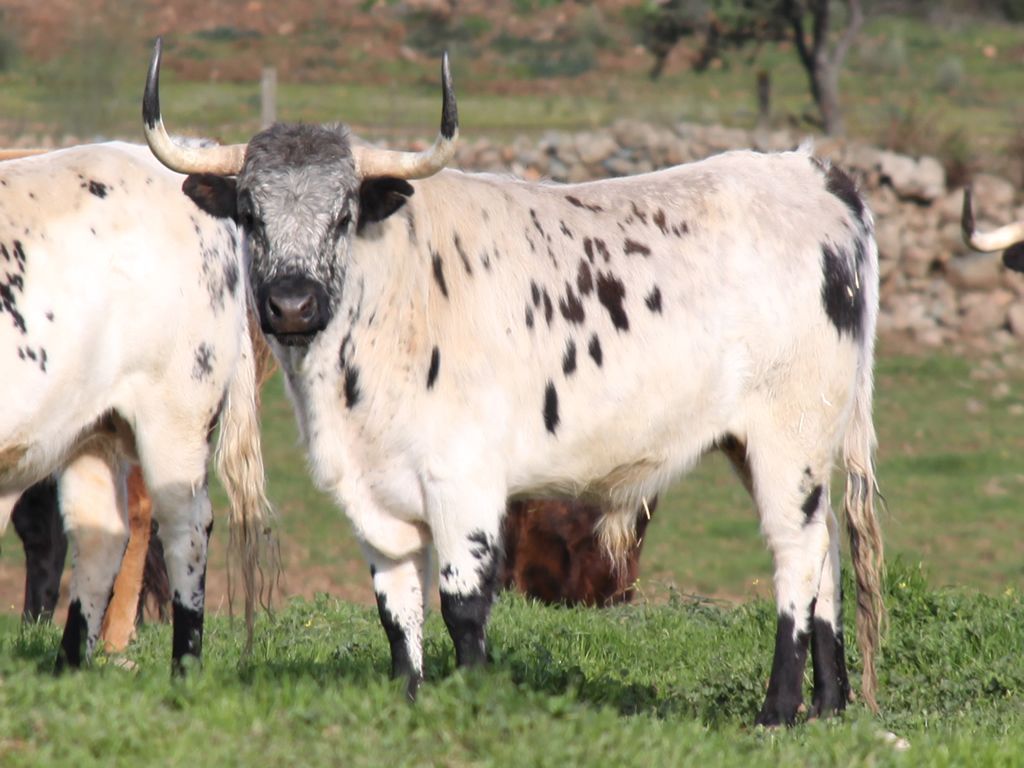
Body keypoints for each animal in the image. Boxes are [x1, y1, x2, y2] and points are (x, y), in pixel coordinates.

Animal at [0, 141, 273, 673]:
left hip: (174, 414)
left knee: (186, 527)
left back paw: (183, 668)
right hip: (91, 426)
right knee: (100, 532)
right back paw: (68, 667)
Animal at [143, 39, 884, 725]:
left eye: (344, 214)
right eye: (249, 212)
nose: (292, 304)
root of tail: (815, 175)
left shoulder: (464, 483)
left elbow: (463, 606)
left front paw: (474, 699)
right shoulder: (372, 499)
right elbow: (397, 608)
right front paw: (407, 701)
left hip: (789, 435)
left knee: (797, 554)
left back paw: (779, 709)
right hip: (779, 446)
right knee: (826, 557)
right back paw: (829, 704)